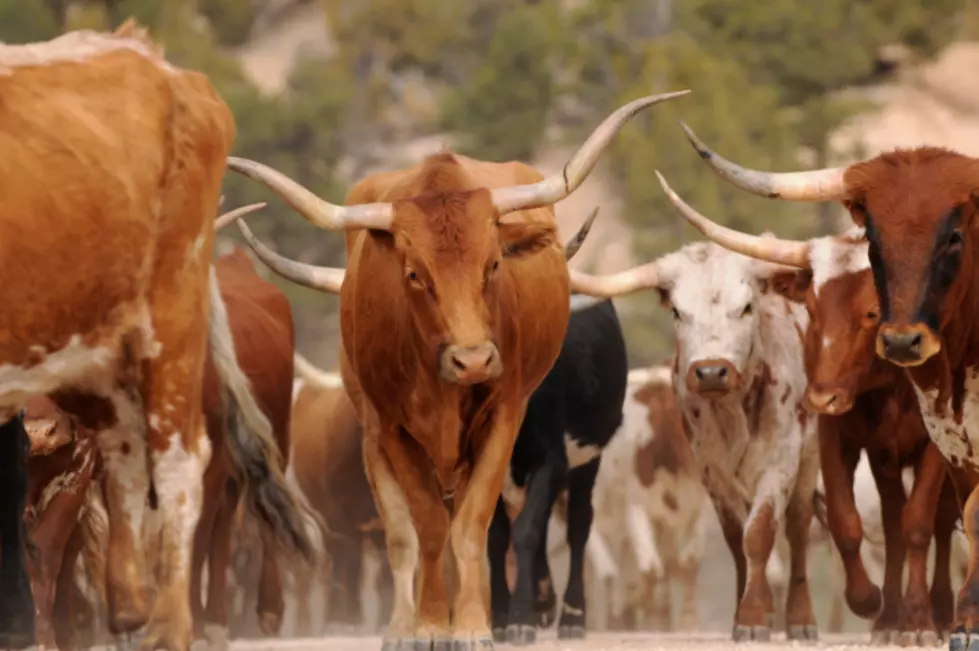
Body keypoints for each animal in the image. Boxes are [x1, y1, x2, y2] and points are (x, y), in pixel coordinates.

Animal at [488, 298, 628, 644]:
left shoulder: (551, 461)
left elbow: (526, 531)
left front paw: (520, 619)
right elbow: (497, 538)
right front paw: (500, 617)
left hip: (587, 459)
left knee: (578, 525)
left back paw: (571, 616)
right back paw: (544, 599)